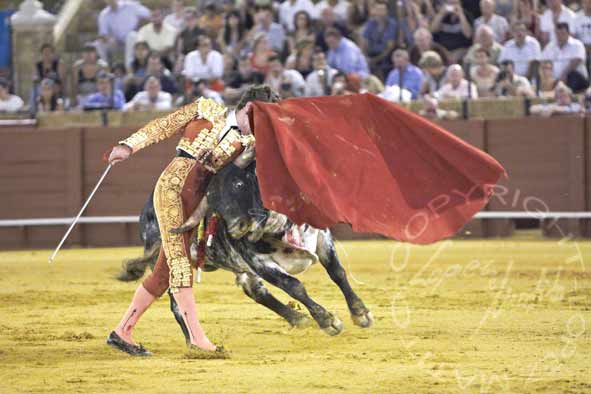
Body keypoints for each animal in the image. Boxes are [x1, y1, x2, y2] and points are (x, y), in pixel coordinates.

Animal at [118, 162, 372, 334]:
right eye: (211, 198)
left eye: (239, 184)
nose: (234, 228)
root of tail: (147, 209)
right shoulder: (260, 262)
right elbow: (294, 286)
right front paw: (328, 321)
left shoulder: (321, 237)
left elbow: (337, 272)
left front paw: (360, 313)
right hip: (170, 264)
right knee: (176, 303)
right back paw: (195, 344)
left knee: (255, 291)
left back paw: (296, 318)